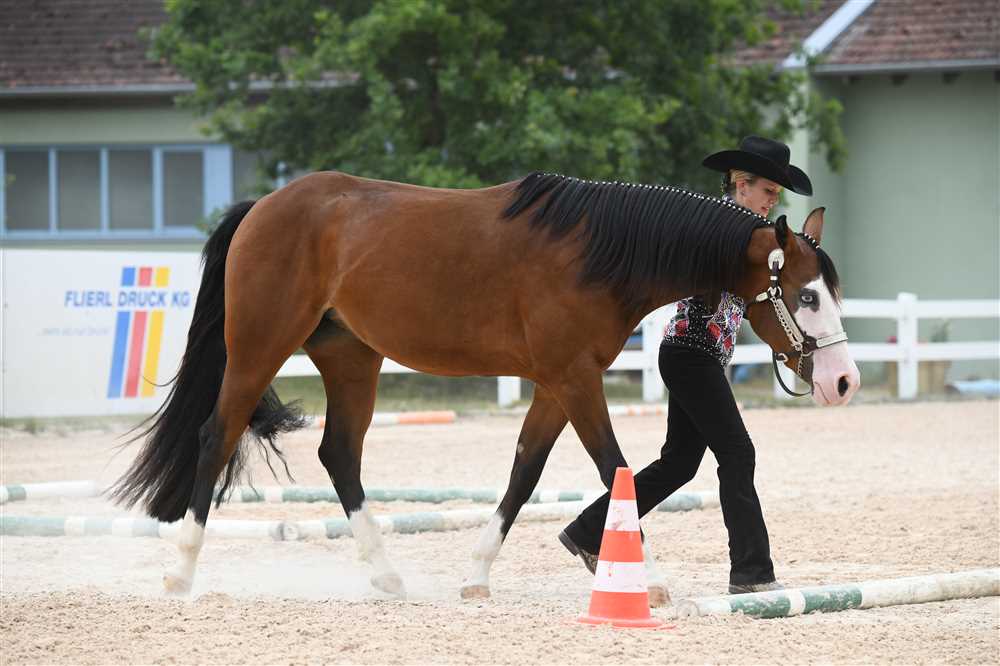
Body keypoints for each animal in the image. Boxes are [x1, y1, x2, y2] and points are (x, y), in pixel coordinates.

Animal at [110, 171, 860, 601]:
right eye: (806, 295)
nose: (843, 380)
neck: (596, 253)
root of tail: (264, 206)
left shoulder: (557, 384)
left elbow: (524, 475)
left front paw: (475, 577)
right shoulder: (575, 380)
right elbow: (615, 469)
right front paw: (653, 580)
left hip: (352, 361)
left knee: (338, 454)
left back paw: (387, 576)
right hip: (260, 347)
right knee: (217, 433)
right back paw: (180, 573)